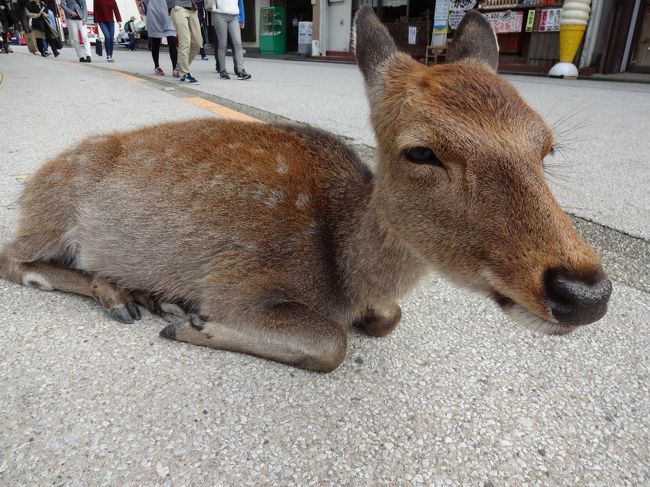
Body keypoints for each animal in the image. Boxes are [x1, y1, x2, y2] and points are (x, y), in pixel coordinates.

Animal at [0, 8, 612, 374]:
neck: (344, 271)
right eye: (420, 151)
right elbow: (331, 343)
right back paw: (127, 297)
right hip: (50, 210)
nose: (586, 293)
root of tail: (31, 188)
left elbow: (387, 319)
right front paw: (194, 324)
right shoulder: (241, 281)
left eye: (546, 146)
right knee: (13, 259)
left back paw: (140, 295)